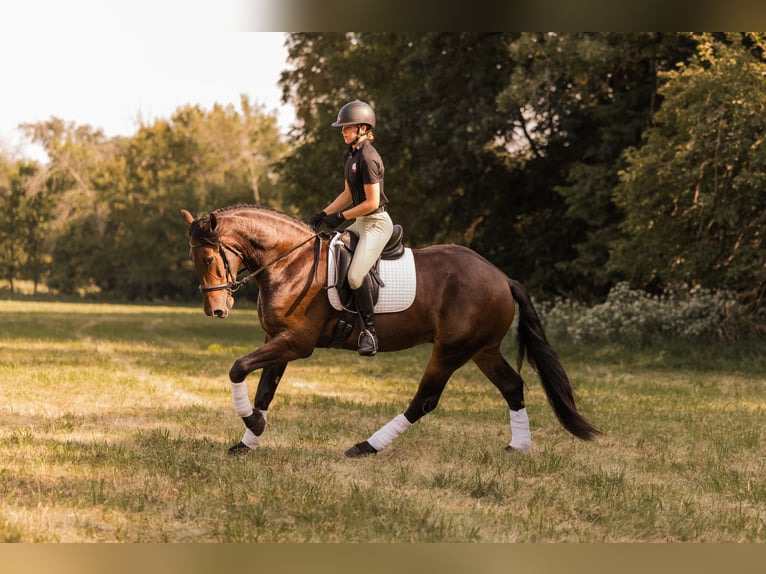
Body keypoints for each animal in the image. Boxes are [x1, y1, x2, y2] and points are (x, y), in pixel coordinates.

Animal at [180, 204, 599, 457]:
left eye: (208, 257)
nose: (216, 310)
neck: (290, 262)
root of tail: (501, 278)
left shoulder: (296, 344)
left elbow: (238, 367)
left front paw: (251, 422)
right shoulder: (277, 340)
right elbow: (265, 387)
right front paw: (248, 440)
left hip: (450, 350)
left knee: (425, 400)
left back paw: (366, 446)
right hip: (482, 350)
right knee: (512, 386)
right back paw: (519, 446)